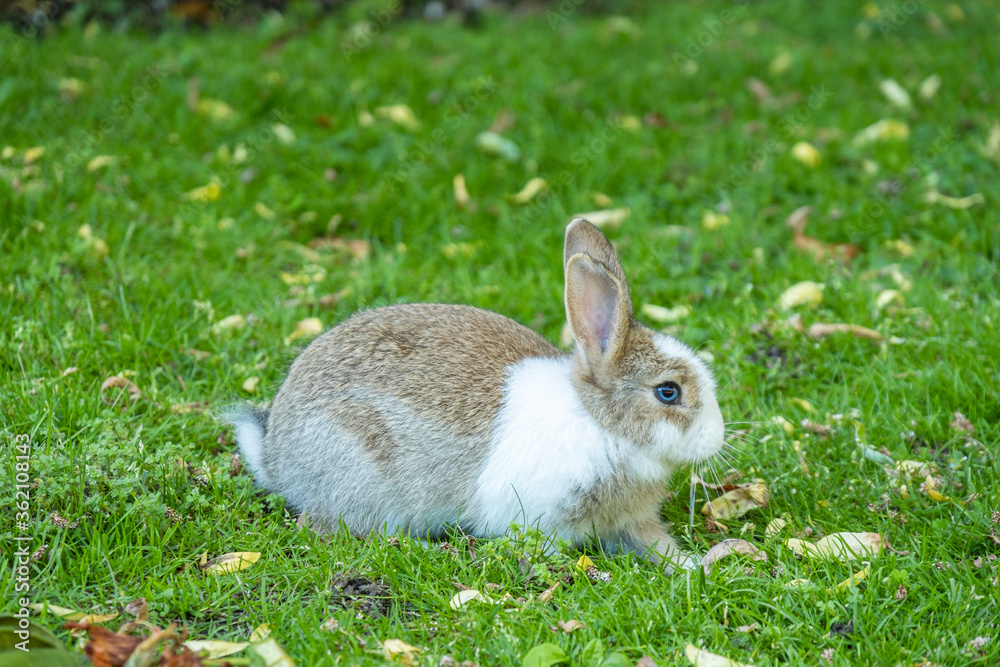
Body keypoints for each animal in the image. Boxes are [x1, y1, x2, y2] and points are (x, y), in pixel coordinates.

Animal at [226, 218, 724, 569]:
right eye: (668, 392)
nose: (717, 436)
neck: (602, 425)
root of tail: (276, 458)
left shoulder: (629, 522)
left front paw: (701, 565)